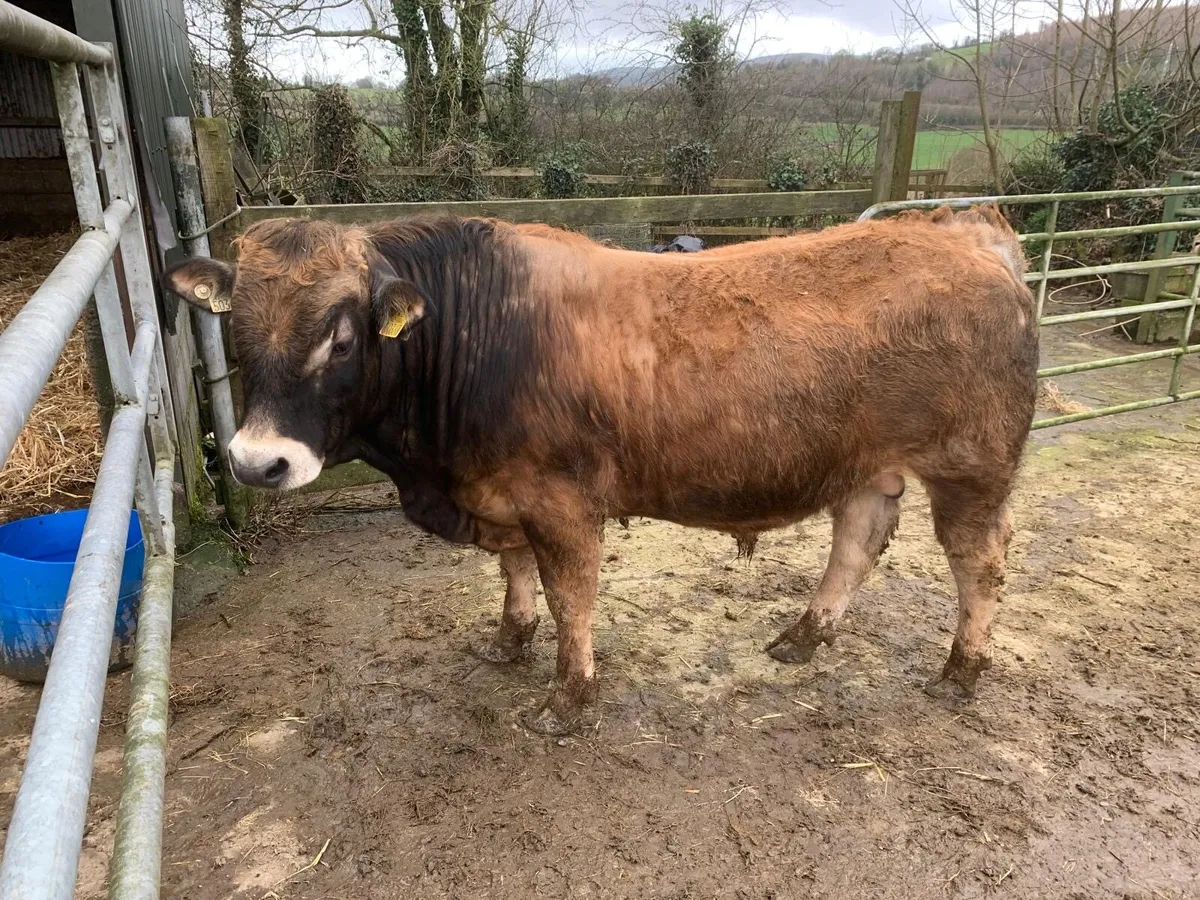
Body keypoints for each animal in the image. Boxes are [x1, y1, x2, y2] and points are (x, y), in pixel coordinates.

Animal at [164, 205, 1038, 735]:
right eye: (236, 330)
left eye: (341, 336)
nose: (256, 462)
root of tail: (965, 231)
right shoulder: (500, 489)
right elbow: (516, 574)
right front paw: (508, 640)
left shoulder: (559, 499)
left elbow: (570, 596)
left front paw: (567, 696)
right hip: (867, 465)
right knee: (857, 540)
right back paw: (804, 635)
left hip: (973, 467)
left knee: (980, 563)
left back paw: (962, 671)